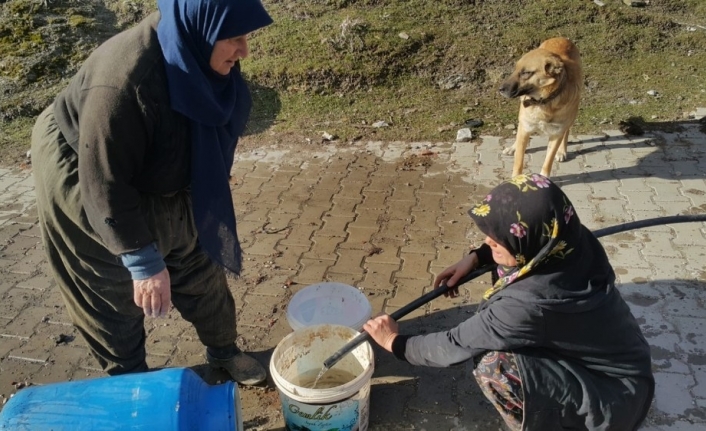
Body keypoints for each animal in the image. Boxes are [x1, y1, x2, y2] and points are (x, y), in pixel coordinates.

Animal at [498, 37, 580, 177]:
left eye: (526, 73)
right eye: (515, 69)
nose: (500, 89)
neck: (544, 102)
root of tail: (561, 38)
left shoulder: (556, 133)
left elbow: (548, 161)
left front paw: (544, 177)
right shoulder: (525, 126)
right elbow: (519, 159)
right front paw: (516, 177)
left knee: (567, 132)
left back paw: (562, 151)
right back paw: (513, 147)